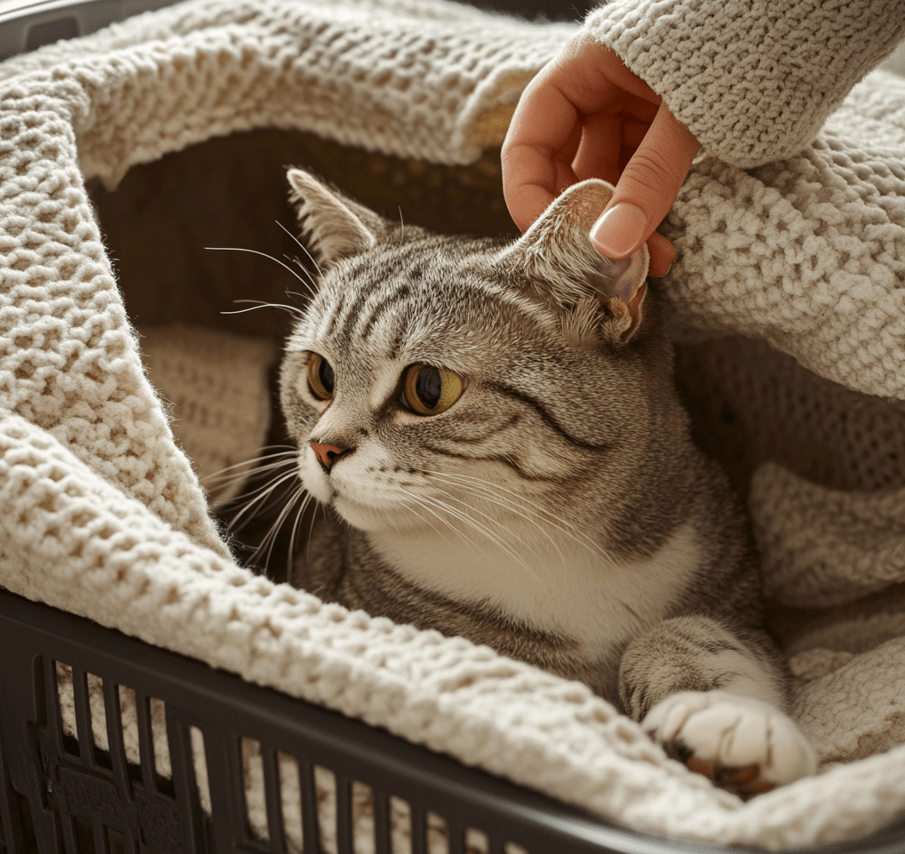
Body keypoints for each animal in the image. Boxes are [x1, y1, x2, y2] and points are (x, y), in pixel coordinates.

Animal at [278, 169, 820, 804]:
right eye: (321, 376)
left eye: (428, 387)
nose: (323, 448)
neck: (552, 543)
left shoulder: (740, 604)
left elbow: (691, 631)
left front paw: (729, 719)